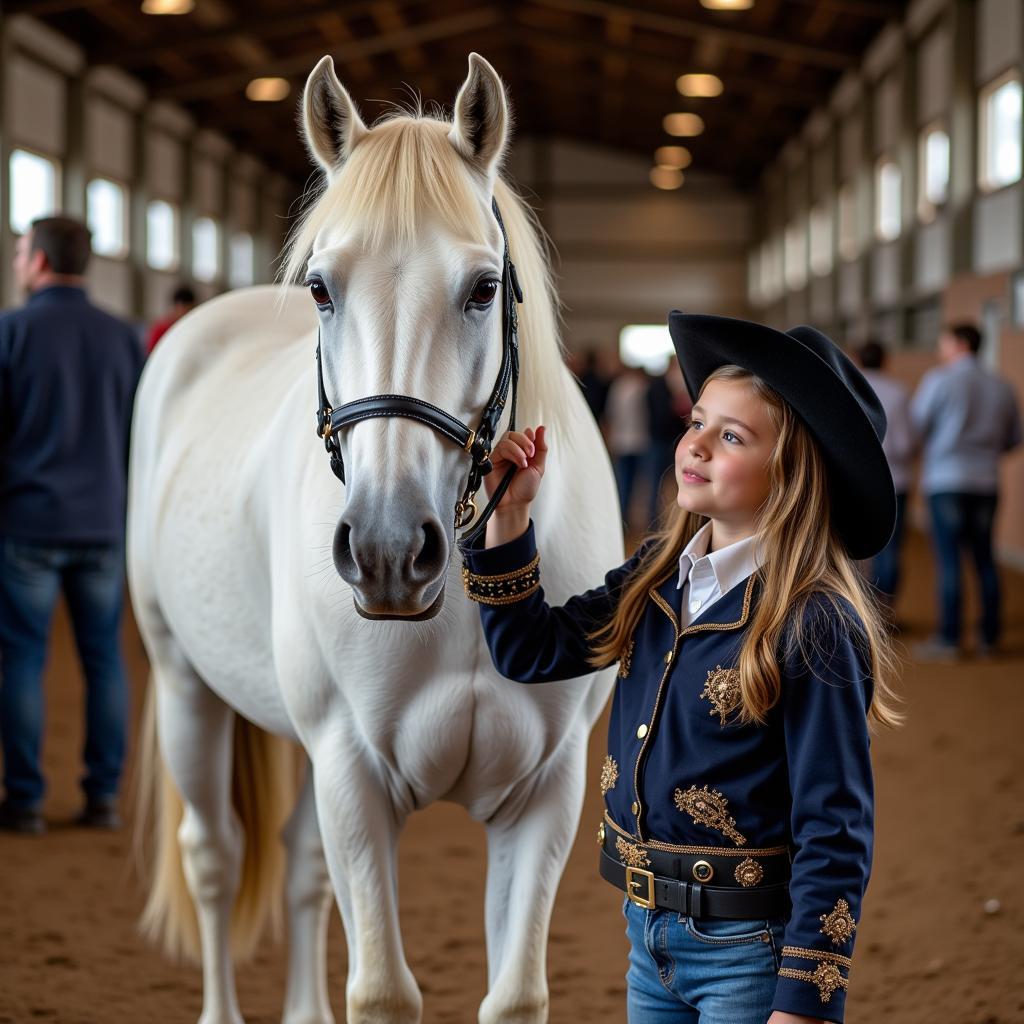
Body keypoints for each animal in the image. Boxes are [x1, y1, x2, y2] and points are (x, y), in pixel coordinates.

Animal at [130, 54, 622, 1024]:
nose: (390, 553)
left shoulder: (544, 792)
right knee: (214, 857)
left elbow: (515, 996)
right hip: (185, 685)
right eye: (323, 287)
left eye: (482, 287)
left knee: (299, 870)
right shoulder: (353, 775)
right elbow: (384, 992)